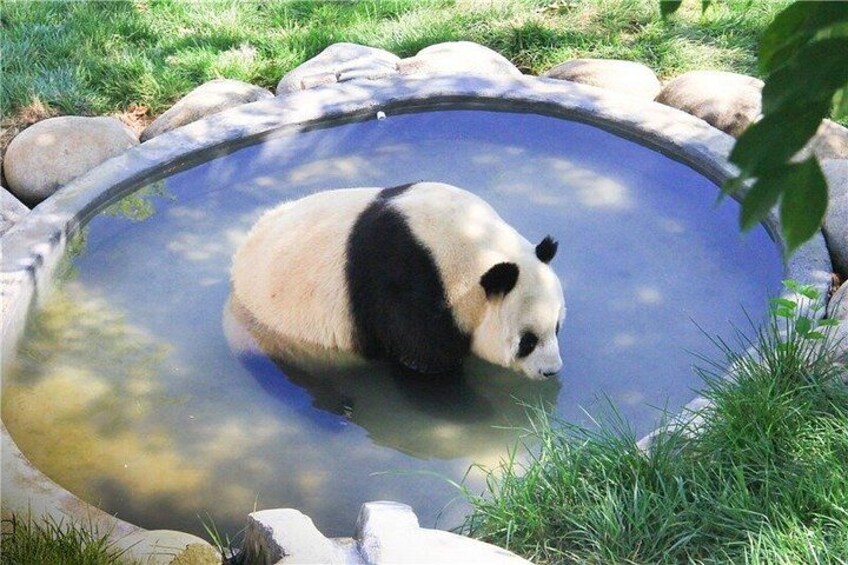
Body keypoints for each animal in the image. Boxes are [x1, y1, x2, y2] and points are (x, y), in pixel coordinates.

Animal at [230, 181, 566, 379]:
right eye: (527, 340)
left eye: (557, 327)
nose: (551, 371)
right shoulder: (410, 287)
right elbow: (424, 359)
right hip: (273, 334)